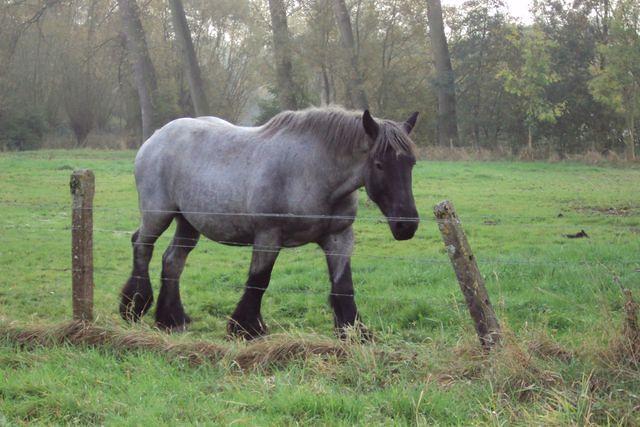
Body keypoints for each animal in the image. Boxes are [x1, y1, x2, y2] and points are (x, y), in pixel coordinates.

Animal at [119, 108, 420, 342]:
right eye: (379, 164)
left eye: (411, 163)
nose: (407, 225)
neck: (311, 172)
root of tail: (156, 137)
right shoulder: (268, 235)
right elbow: (259, 280)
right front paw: (246, 328)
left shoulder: (339, 236)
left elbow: (343, 283)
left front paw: (353, 330)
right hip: (158, 214)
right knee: (142, 245)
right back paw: (134, 306)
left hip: (188, 223)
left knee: (173, 260)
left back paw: (171, 318)